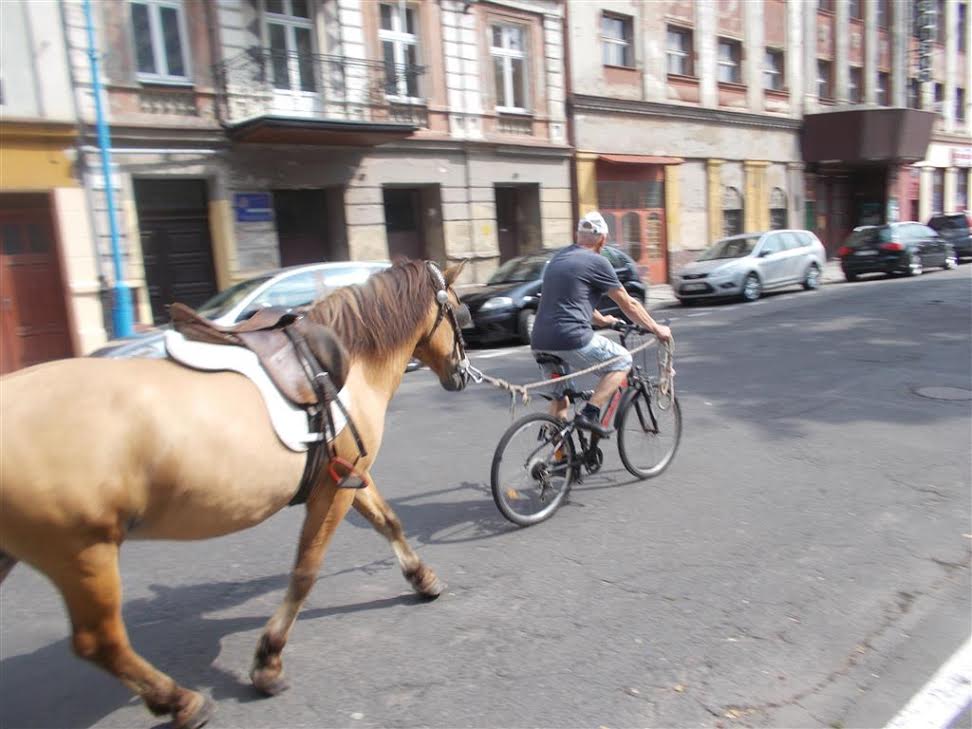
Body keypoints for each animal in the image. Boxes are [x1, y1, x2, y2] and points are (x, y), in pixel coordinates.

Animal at [0, 259, 470, 729]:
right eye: (460, 313)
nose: (462, 374)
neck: (349, 365)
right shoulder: (336, 487)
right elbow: (306, 571)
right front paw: (268, 661)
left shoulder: (346, 476)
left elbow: (388, 521)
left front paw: (421, 577)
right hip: (84, 552)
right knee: (99, 642)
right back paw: (180, 701)